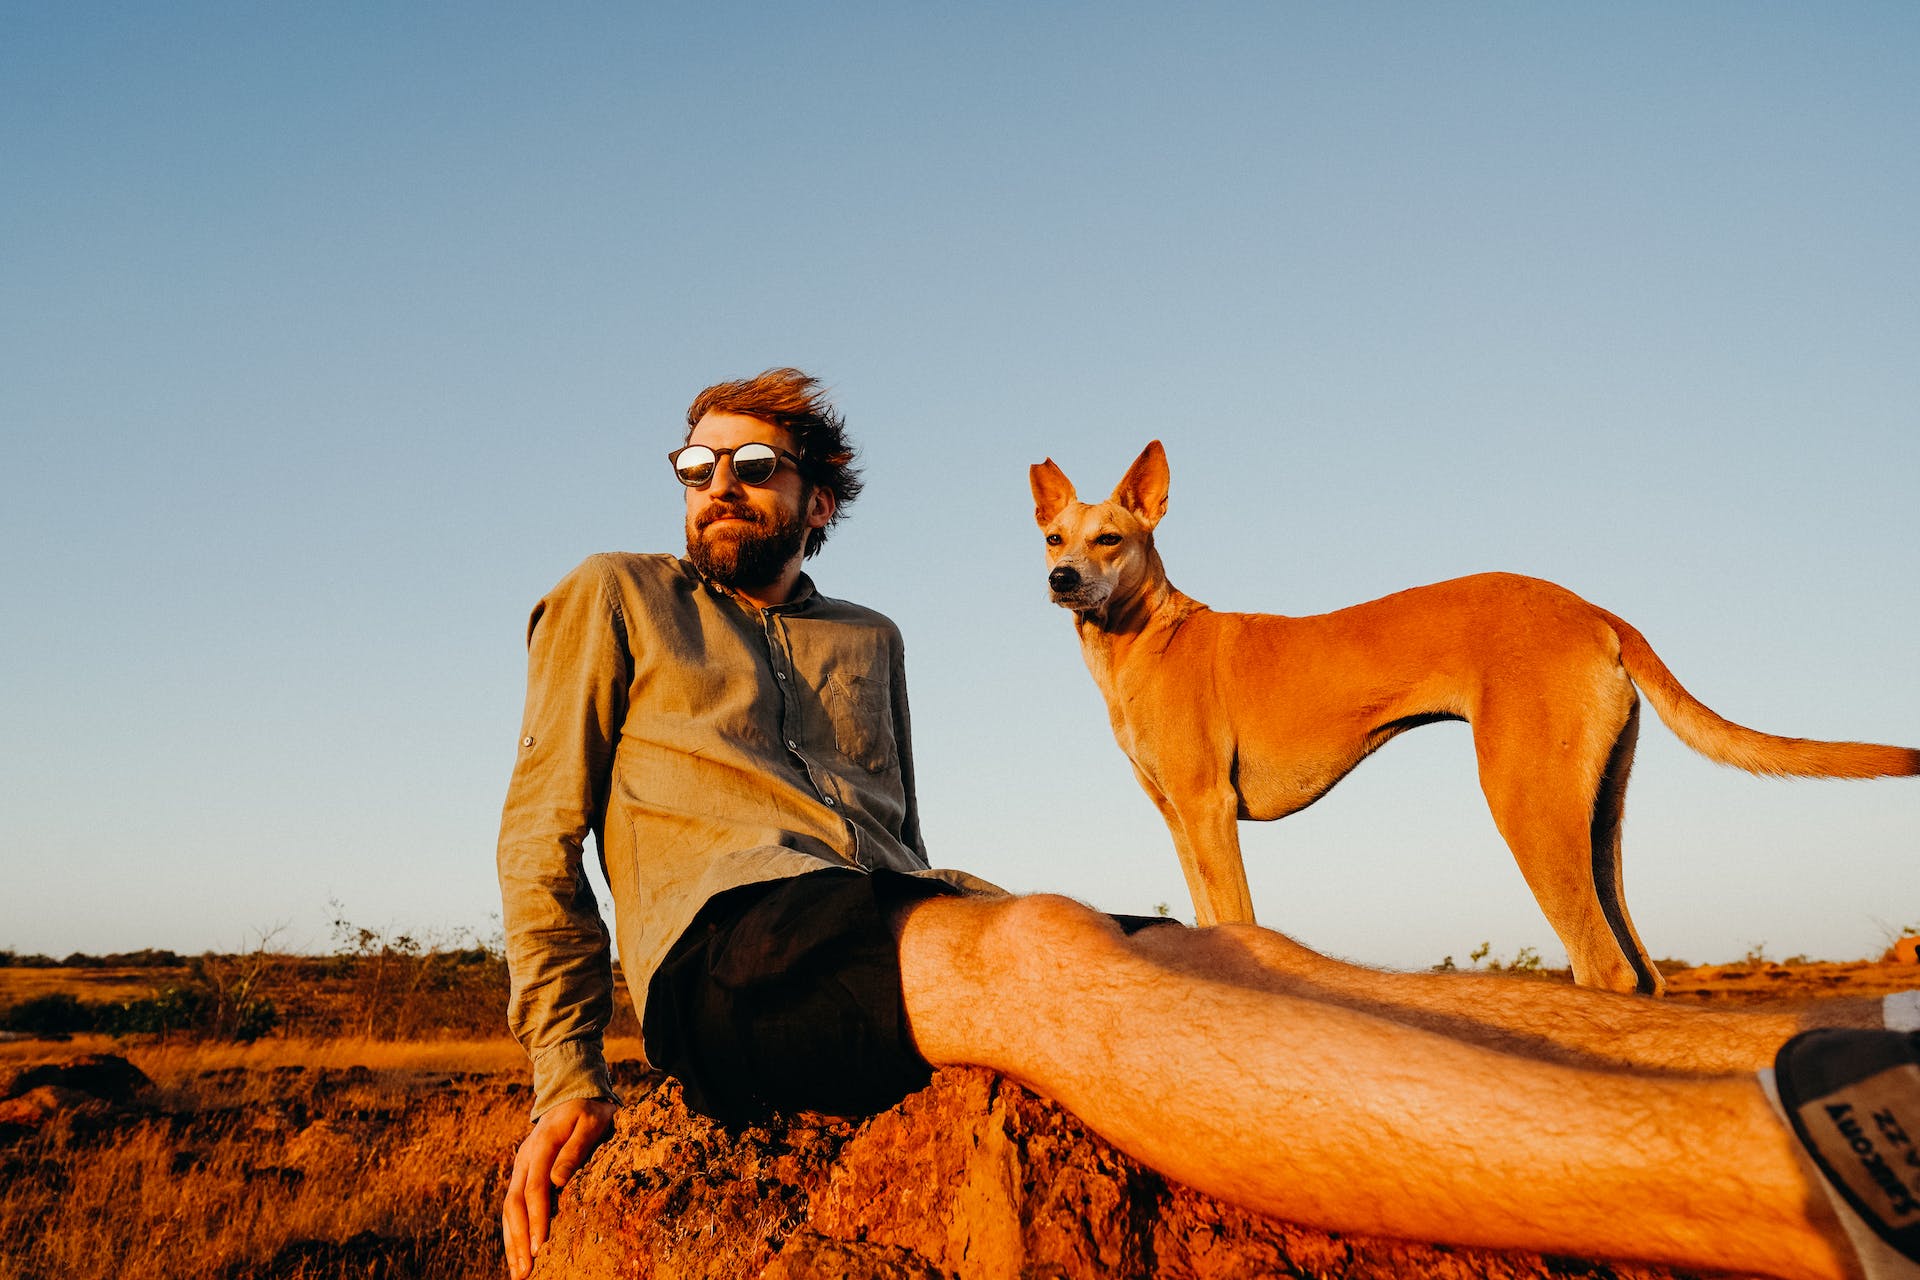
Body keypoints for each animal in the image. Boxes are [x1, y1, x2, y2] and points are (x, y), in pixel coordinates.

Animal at [1036, 441, 1920, 990]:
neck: (1141, 639)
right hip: (1593, 818)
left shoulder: (1210, 811)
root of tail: (1592, 609)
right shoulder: (1181, 821)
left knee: (1605, 967)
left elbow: (1243, 924)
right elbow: (1208, 918)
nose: (1063, 581)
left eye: (1110, 538)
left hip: (1526, 805)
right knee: (1643, 970)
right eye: (1053, 537)